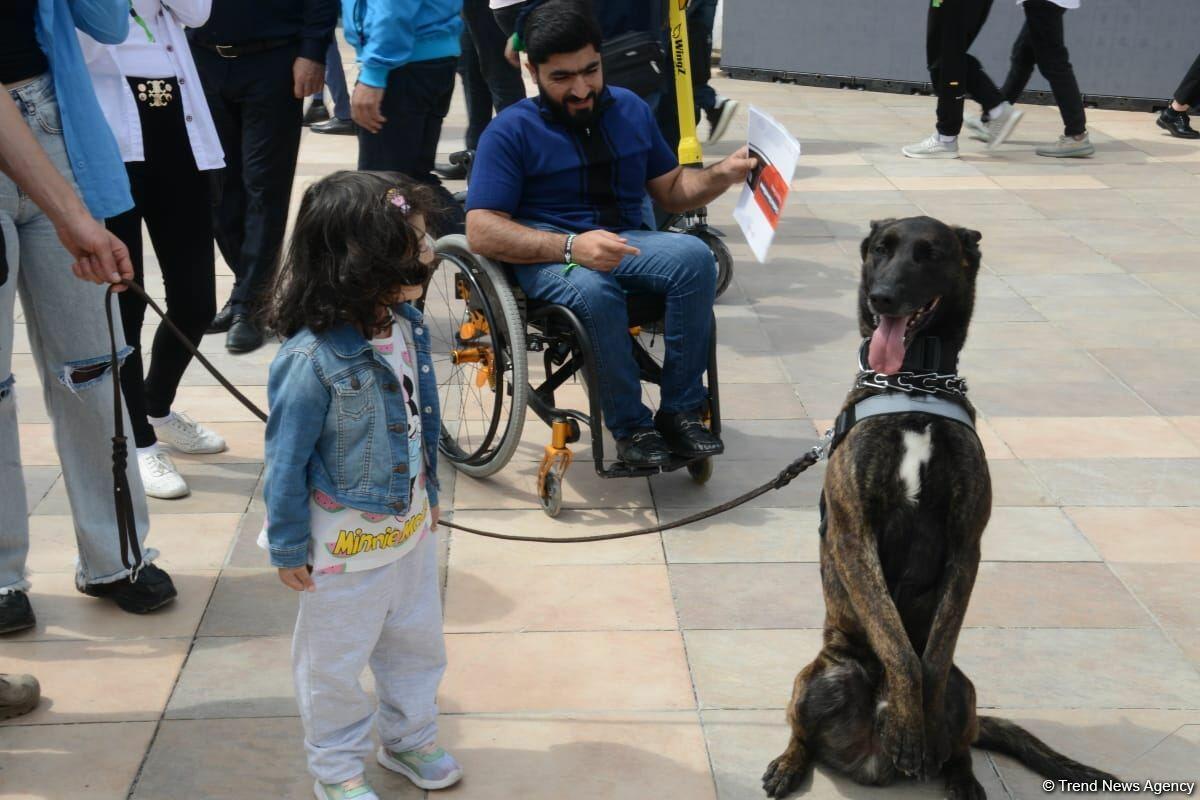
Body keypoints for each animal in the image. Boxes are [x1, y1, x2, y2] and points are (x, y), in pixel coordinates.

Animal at [758, 215, 1113, 796]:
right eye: (881, 250)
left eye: (929, 254)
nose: (882, 298)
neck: (915, 385)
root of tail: (869, 761)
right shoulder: (855, 536)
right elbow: (900, 647)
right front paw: (909, 722)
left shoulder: (966, 545)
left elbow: (934, 656)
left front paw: (918, 722)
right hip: (819, 677)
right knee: (801, 731)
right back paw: (791, 764)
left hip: (964, 691)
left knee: (960, 744)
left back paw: (960, 778)